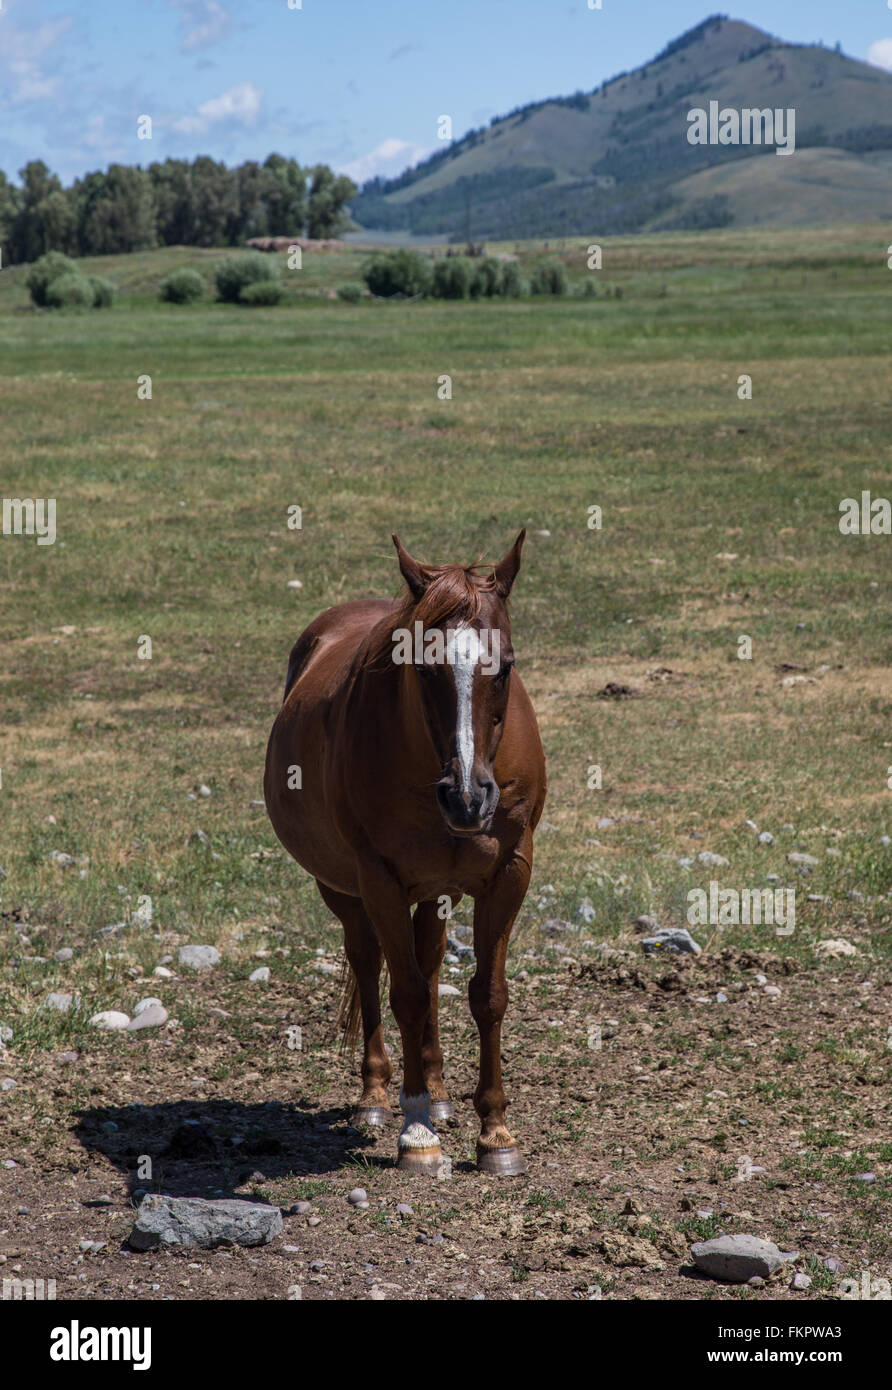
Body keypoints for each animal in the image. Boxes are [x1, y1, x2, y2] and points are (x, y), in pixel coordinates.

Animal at [264, 531, 546, 1175]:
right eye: (421, 665)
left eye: (505, 665)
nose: (468, 797)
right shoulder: (381, 881)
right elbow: (408, 994)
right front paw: (417, 1133)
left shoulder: (509, 873)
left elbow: (487, 995)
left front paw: (495, 1132)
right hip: (343, 888)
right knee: (371, 963)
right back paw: (377, 1097)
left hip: (439, 890)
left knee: (431, 957)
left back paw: (439, 1091)